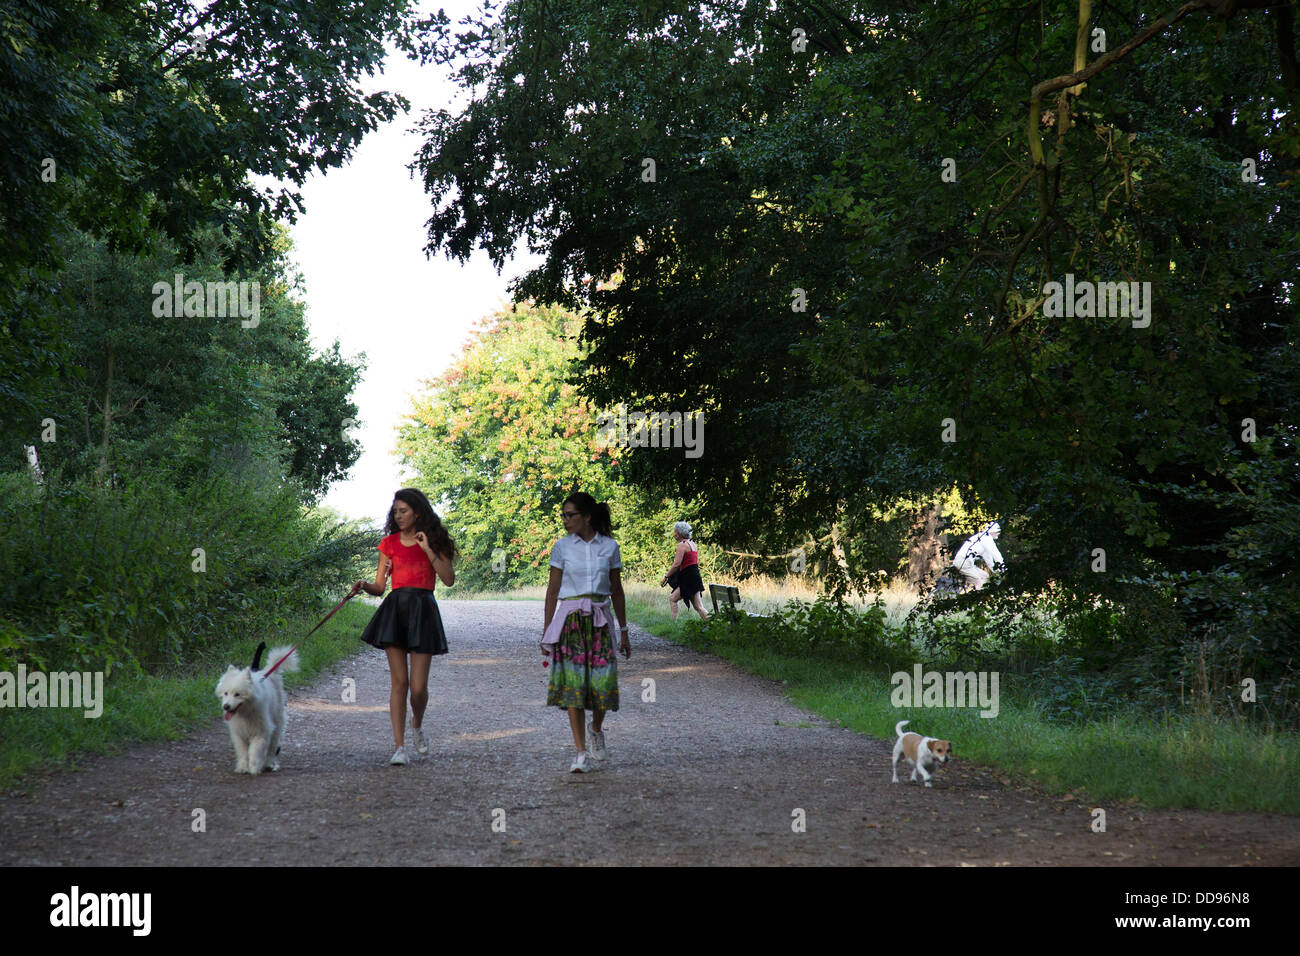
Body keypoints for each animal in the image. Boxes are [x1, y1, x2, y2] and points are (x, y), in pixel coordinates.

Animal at [217, 647, 300, 775]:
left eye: (237, 694)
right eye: (226, 693)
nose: (226, 706)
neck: (245, 713)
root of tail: (270, 673)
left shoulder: (261, 732)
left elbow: (255, 750)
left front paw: (254, 768)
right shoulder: (239, 734)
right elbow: (242, 752)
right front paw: (242, 768)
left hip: (277, 722)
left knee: (272, 746)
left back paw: (268, 764)